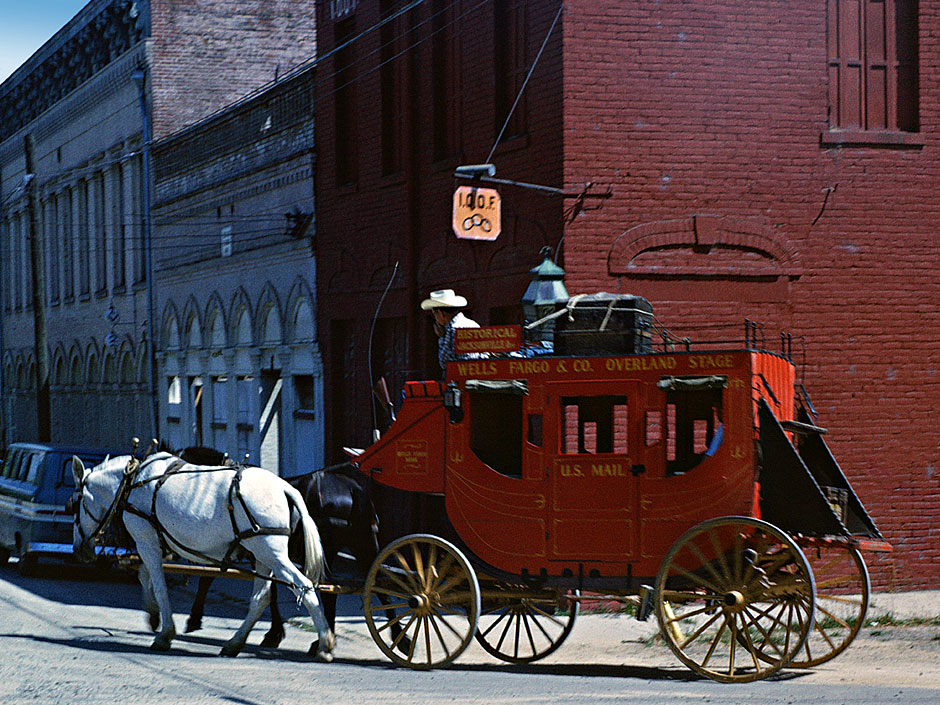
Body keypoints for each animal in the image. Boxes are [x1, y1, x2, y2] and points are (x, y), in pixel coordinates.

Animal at [74, 452, 338, 660]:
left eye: (74, 503)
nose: (79, 550)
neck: (133, 482)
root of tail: (285, 487)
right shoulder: (156, 542)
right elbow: (144, 575)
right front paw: (153, 614)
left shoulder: (146, 541)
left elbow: (158, 584)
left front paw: (164, 632)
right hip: (262, 555)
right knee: (261, 598)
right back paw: (234, 644)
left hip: (272, 553)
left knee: (304, 586)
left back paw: (324, 644)